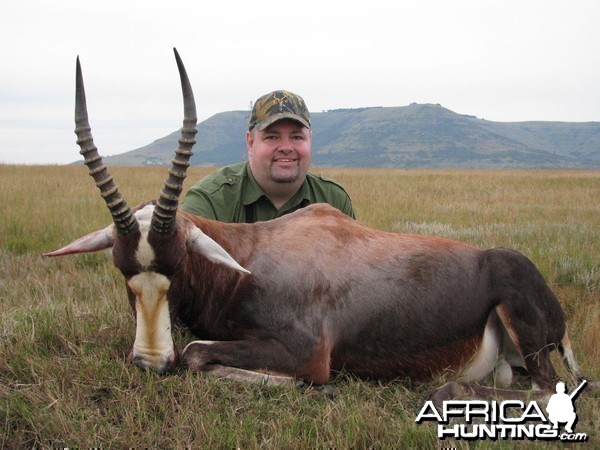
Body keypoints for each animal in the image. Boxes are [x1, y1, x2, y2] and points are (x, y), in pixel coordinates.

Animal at [45, 50, 584, 400]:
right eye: (122, 271)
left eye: (177, 267)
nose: (151, 362)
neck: (251, 258)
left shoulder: (306, 351)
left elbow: (199, 353)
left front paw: (300, 385)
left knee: (547, 390)